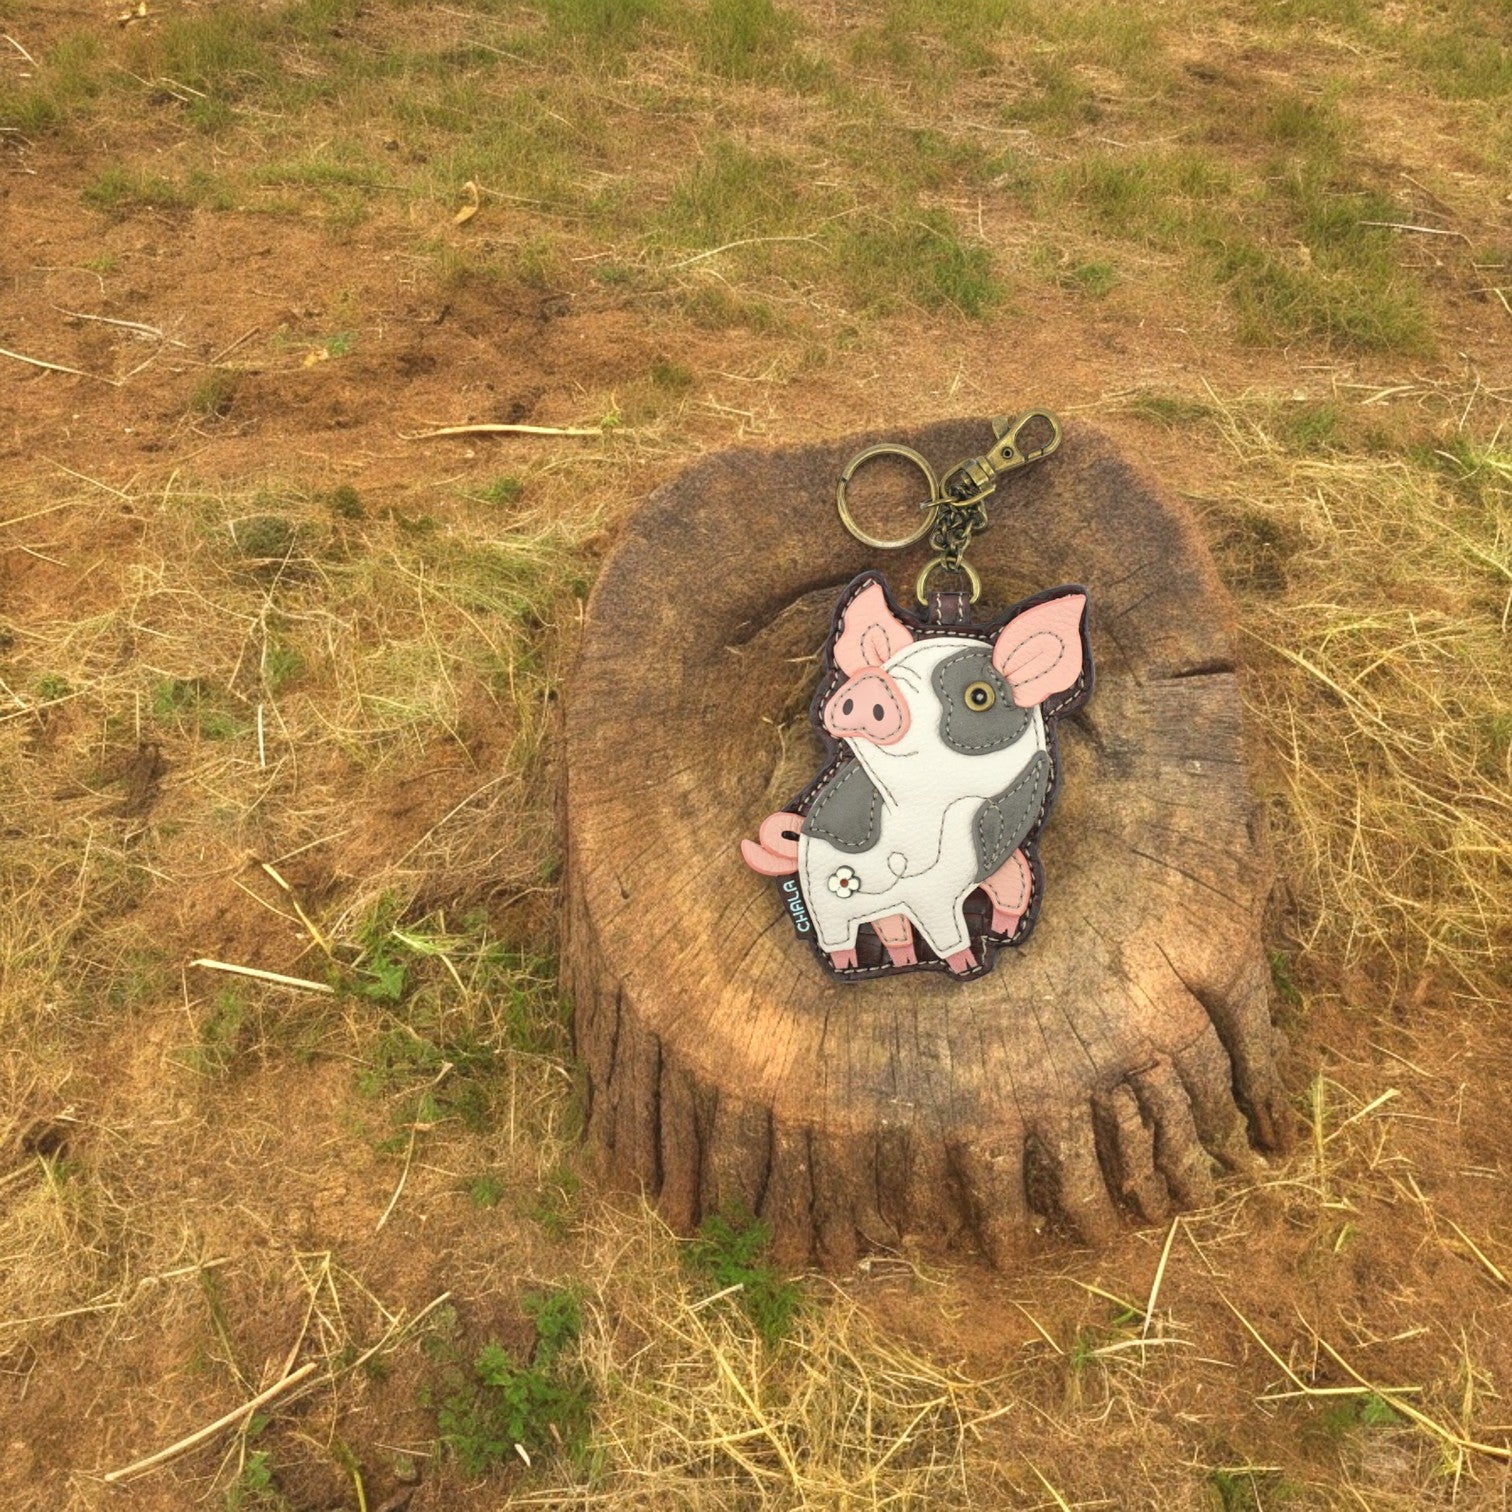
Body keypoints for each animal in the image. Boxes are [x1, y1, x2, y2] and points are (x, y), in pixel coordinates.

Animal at [741, 573, 1091, 978]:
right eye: (887, 672)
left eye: (979, 696)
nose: (873, 686)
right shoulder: (930, 896)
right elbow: (946, 933)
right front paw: (967, 963)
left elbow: (1016, 875)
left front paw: (1003, 930)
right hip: (827, 906)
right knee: (837, 937)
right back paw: (850, 965)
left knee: (889, 924)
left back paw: (905, 959)